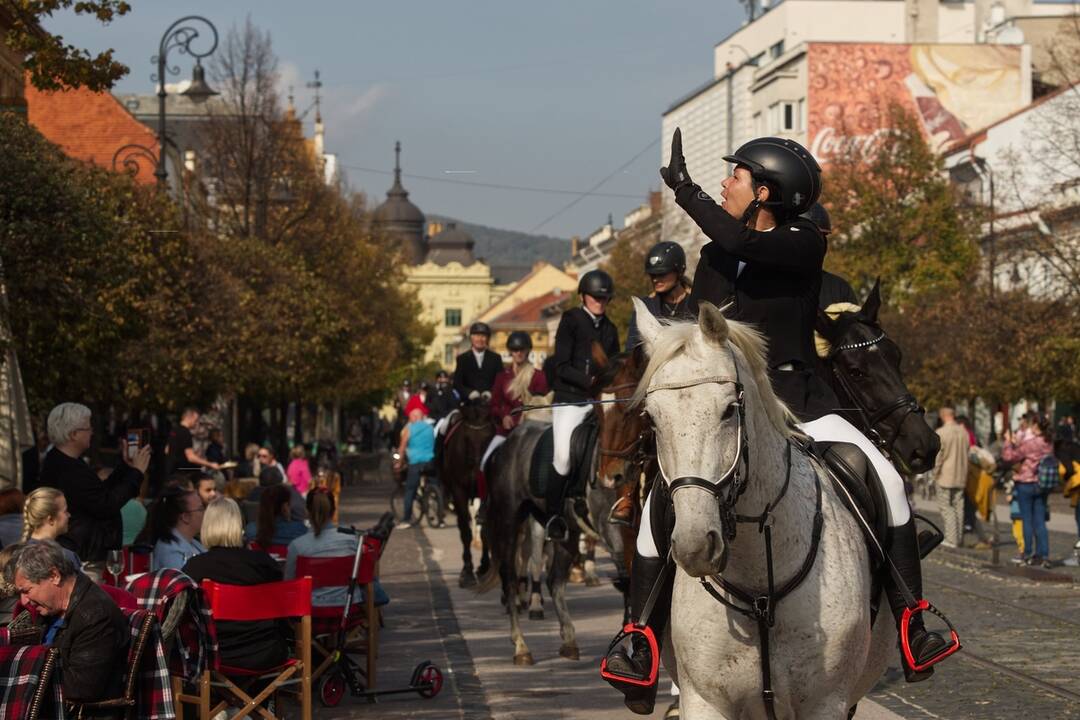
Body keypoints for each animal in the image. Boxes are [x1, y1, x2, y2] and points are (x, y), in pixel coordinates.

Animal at [438, 403, 496, 587]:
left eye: (489, 437)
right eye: (466, 438)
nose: (478, 472)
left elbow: (485, 529)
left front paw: (484, 566)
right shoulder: (459, 491)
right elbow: (465, 531)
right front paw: (467, 572)